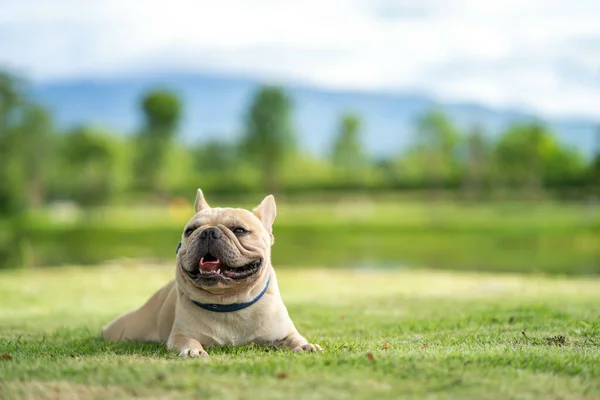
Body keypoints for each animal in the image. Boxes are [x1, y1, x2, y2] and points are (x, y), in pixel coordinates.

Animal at [101, 189, 322, 358]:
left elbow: (295, 338)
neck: (229, 303)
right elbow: (188, 340)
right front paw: (193, 350)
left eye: (240, 230)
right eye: (190, 230)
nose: (208, 232)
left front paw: (306, 345)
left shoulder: (283, 333)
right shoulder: (180, 335)